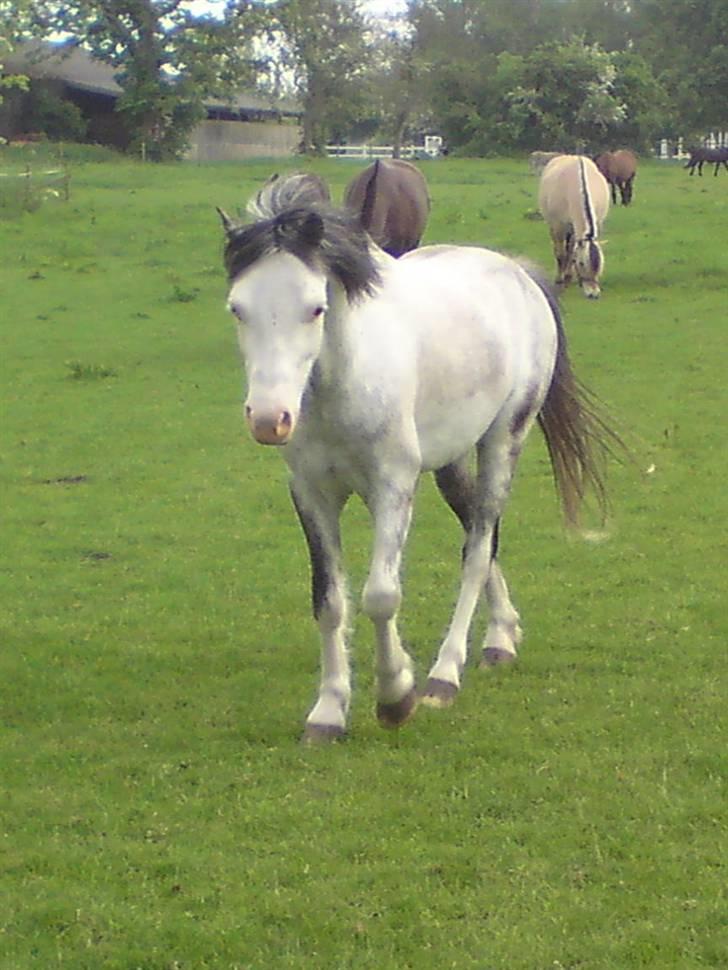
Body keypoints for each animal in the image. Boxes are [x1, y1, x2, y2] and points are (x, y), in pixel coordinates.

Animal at [218, 174, 616, 736]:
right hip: (450, 461)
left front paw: (395, 696)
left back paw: (445, 675)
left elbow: (381, 596)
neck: (343, 383)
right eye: (238, 308)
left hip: (504, 441)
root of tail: (515, 271)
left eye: (315, 307)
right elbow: (329, 601)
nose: (269, 418)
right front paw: (329, 711)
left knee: (478, 548)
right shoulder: (312, 493)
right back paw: (501, 638)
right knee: (478, 533)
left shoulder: (392, 486)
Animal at [536, 154, 612, 298]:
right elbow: (561, 254)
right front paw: (560, 279)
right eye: (581, 263)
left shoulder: (596, 224)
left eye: (601, 264)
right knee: (558, 249)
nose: (593, 294)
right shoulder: (559, 226)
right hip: (554, 226)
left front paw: (570, 276)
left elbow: (571, 253)